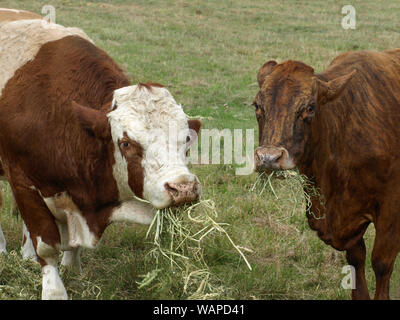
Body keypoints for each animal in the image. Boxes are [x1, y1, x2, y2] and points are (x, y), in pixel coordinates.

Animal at [0, 9, 200, 300]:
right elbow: (47, 246)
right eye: (126, 143)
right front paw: (54, 290)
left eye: (186, 140)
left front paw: (73, 269)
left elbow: (70, 243)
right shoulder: (23, 181)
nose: (183, 187)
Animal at [253, 48, 400, 298]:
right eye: (256, 106)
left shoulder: (391, 208)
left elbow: (381, 263)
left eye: (310, 107)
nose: (268, 158)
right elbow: (356, 259)